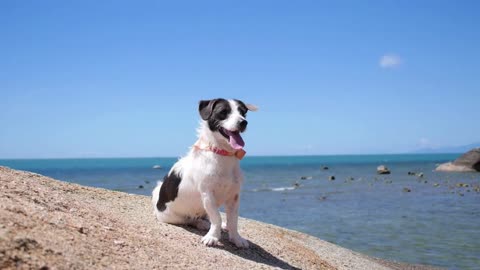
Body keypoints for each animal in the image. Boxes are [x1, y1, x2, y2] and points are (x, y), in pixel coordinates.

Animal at [153, 98, 258, 248]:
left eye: (243, 113)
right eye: (223, 112)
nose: (243, 122)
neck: (222, 154)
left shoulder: (234, 196)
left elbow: (233, 220)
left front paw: (236, 238)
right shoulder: (208, 194)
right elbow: (216, 217)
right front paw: (213, 237)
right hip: (173, 217)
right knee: (190, 220)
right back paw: (201, 223)